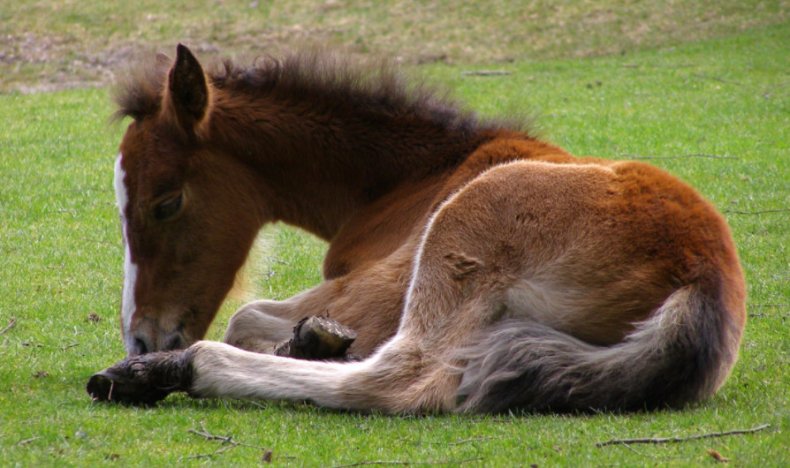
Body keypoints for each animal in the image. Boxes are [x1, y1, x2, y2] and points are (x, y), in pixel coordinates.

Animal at [88, 44, 748, 414]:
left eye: (166, 203)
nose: (142, 339)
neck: (409, 178)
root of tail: (701, 277)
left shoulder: (379, 287)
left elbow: (246, 317)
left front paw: (307, 341)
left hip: (462, 231)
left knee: (400, 379)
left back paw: (174, 372)